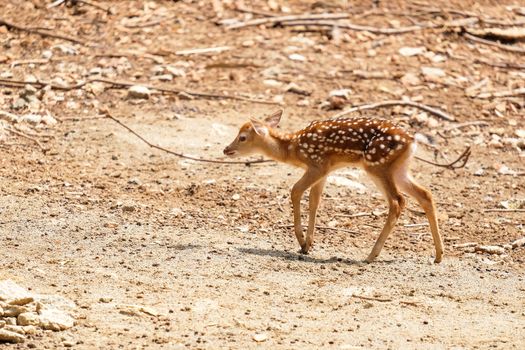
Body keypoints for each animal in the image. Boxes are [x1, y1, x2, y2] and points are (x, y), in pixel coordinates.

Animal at [221, 110, 442, 262]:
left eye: (242, 137)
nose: (226, 149)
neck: (294, 150)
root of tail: (412, 140)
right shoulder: (325, 171)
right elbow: (314, 200)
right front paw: (308, 244)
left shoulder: (317, 164)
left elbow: (295, 191)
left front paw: (301, 240)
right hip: (399, 169)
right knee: (425, 194)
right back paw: (439, 255)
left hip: (377, 165)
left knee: (397, 201)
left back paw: (371, 255)